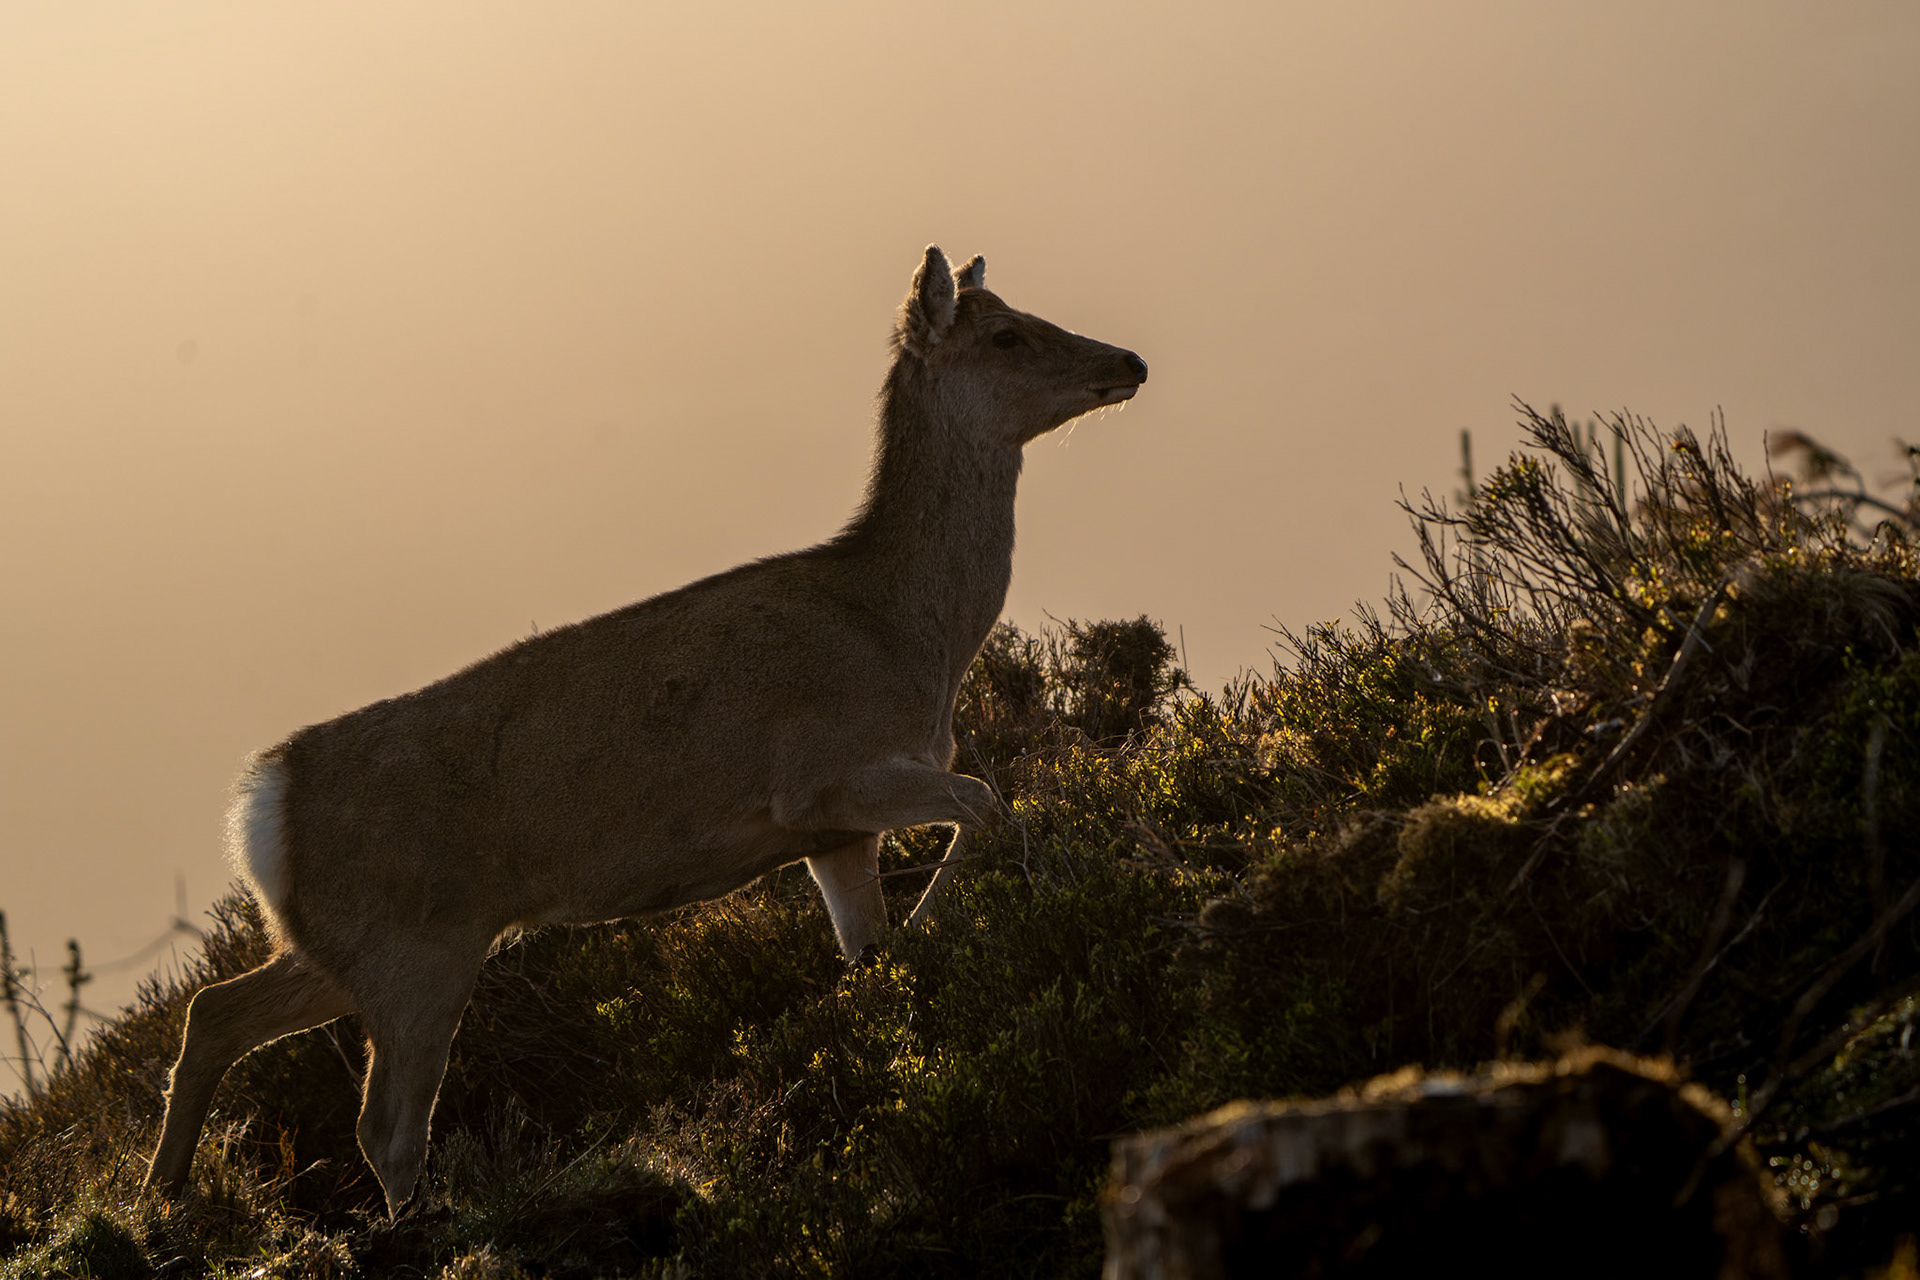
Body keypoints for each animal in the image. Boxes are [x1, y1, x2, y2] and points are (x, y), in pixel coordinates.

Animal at [142, 245, 1147, 1215]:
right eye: (1008, 335)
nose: (1128, 362)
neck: (908, 633)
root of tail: (264, 806)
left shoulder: (832, 834)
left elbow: (870, 942)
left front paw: (894, 983)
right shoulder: (823, 773)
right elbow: (989, 803)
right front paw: (943, 928)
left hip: (340, 944)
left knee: (213, 1013)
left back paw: (166, 1199)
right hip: (418, 944)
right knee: (385, 1124)